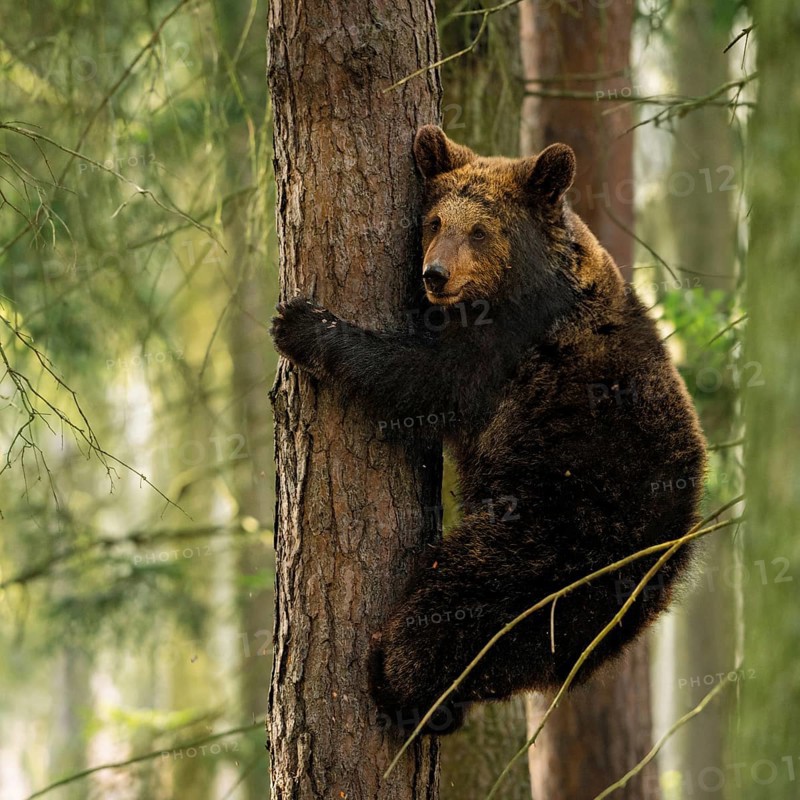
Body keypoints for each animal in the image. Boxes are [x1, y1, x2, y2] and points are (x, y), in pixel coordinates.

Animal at [270, 125, 706, 736]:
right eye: (434, 222)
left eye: (480, 230)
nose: (435, 275)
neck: (509, 288)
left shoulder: (504, 349)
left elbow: (417, 378)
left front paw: (303, 324)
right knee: (525, 649)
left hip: (551, 521)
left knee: (464, 594)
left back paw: (396, 674)